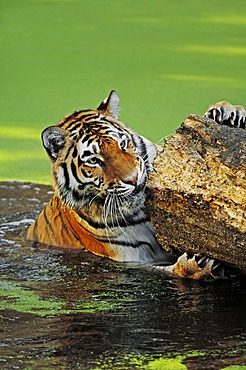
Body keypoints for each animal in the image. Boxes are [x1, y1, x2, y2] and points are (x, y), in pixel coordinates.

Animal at [26, 91, 245, 278]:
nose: (133, 178)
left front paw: (226, 111)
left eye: (122, 145)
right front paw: (196, 266)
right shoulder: (130, 259)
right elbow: (161, 270)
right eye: (94, 160)